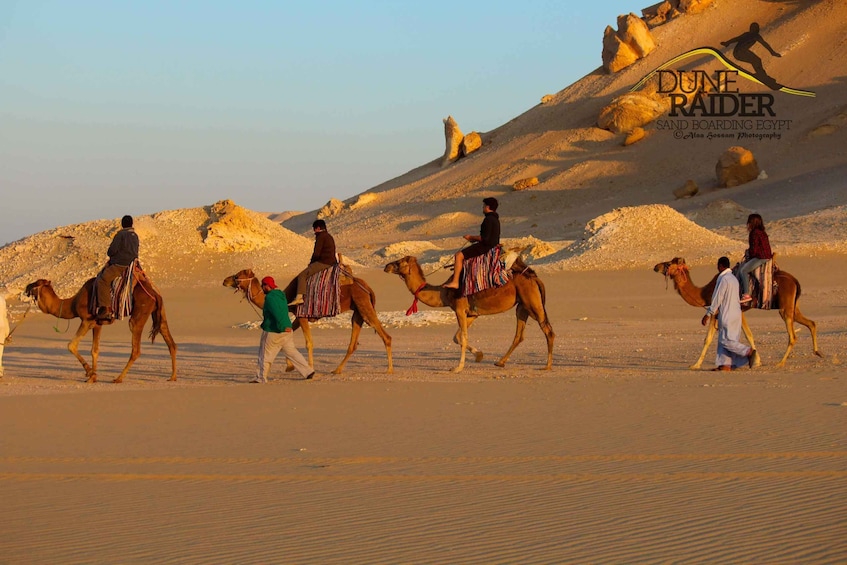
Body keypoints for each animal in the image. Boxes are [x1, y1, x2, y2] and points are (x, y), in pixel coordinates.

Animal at [24, 277, 177, 383]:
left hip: (140, 312)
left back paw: (118, 378)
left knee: (136, 348)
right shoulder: (97, 324)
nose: (26, 286)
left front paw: (89, 373)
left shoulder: (87, 320)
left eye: (36, 283)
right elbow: (95, 350)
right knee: (170, 342)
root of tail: (155, 294)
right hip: (159, 313)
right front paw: (93, 377)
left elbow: (71, 345)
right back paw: (173, 377)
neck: (73, 304)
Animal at [222, 268, 393, 374]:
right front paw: (289, 367)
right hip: (358, 311)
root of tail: (367, 286)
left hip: (363, 305)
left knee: (386, 336)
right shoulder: (298, 317)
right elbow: (287, 335)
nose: (225, 280)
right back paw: (337, 370)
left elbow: (308, 343)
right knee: (353, 343)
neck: (287, 298)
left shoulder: (303, 315)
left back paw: (389, 370)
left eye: (238, 274)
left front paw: (309, 367)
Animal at [383, 255, 554, 373]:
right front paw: (479, 355)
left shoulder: (459, 308)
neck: (444, 292)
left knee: (548, 330)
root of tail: (535, 278)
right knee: (519, 334)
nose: (386, 266)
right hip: (522, 306)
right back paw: (500, 362)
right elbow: (457, 337)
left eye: (400, 262)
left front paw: (457, 368)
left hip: (532, 302)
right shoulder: (471, 313)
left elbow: (463, 337)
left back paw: (547, 366)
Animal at [653, 257, 821, 368]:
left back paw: (780, 363)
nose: (655, 266)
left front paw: (695, 365)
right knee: (811, 323)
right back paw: (818, 352)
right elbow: (740, 335)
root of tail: (795, 281)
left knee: (793, 336)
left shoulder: (725, 309)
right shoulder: (729, 312)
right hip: (793, 306)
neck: (705, 292)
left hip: (785, 307)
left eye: (669, 263)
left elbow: (714, 338)